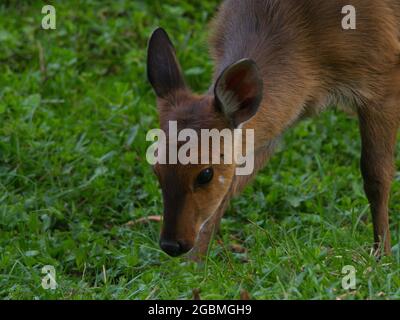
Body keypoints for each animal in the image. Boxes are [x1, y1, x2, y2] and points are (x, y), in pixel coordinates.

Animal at [147, 0, 400, 258]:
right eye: (156, 168)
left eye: (205, 173)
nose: (172, 245)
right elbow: (230, 187)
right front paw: (195, 264)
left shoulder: (384, 74)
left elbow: (376, 175)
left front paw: (382, 256)